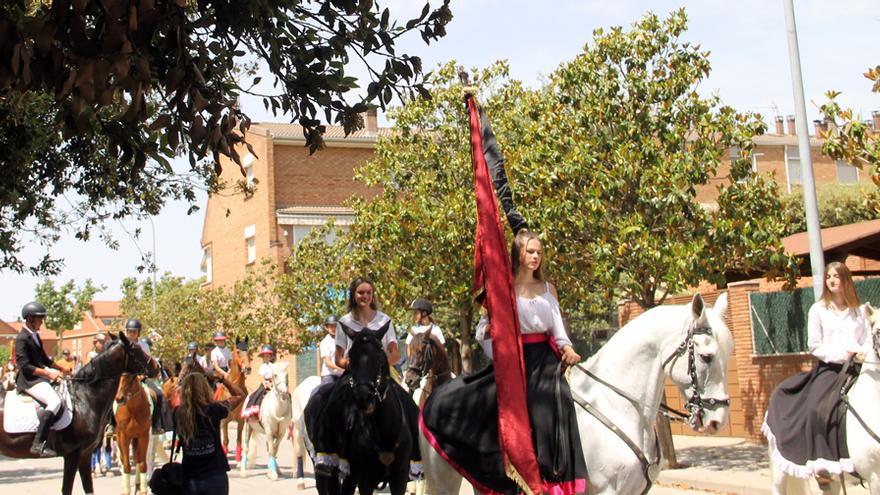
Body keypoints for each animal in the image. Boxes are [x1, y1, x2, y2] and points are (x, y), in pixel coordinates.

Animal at [0, 334, 158, 495]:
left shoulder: (85, 454)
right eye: (136, 348)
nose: (156, 366)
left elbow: (88, 488)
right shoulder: (73, 454)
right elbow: (67, 489)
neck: (84, 398)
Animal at [310, 324, 416, 495]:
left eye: (379, 356)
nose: (363, 397)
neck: (384, 429)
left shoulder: (400, 476)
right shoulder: (365, 478)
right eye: (351, 358)